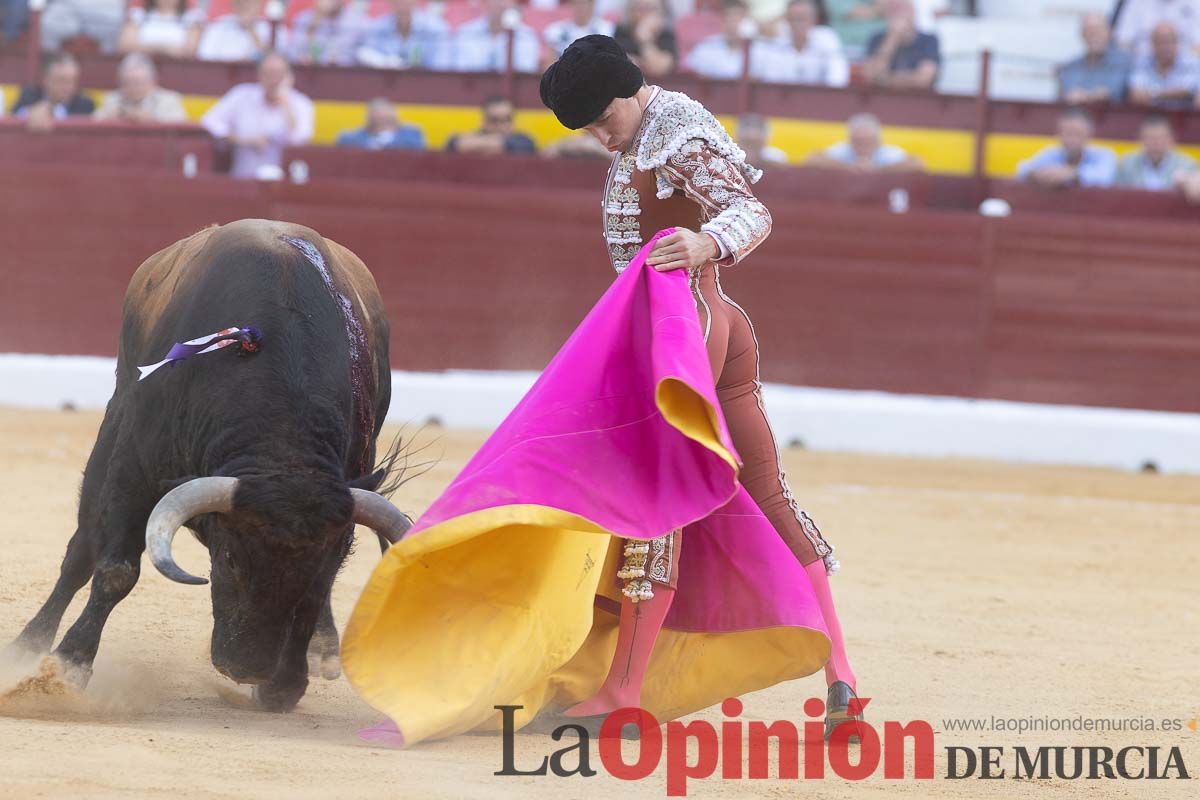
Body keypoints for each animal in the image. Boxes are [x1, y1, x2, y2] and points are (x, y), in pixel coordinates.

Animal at [8, 219, 412, 714]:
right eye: (230, 560)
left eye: (313, 566)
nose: (249, 670)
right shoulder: (135, 469)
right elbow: (117, 569)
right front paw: (68, 668)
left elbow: (319, 592)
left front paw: (286, 686)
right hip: (113, 422)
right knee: (81, 549)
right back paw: (28, 646)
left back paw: (324, 651)